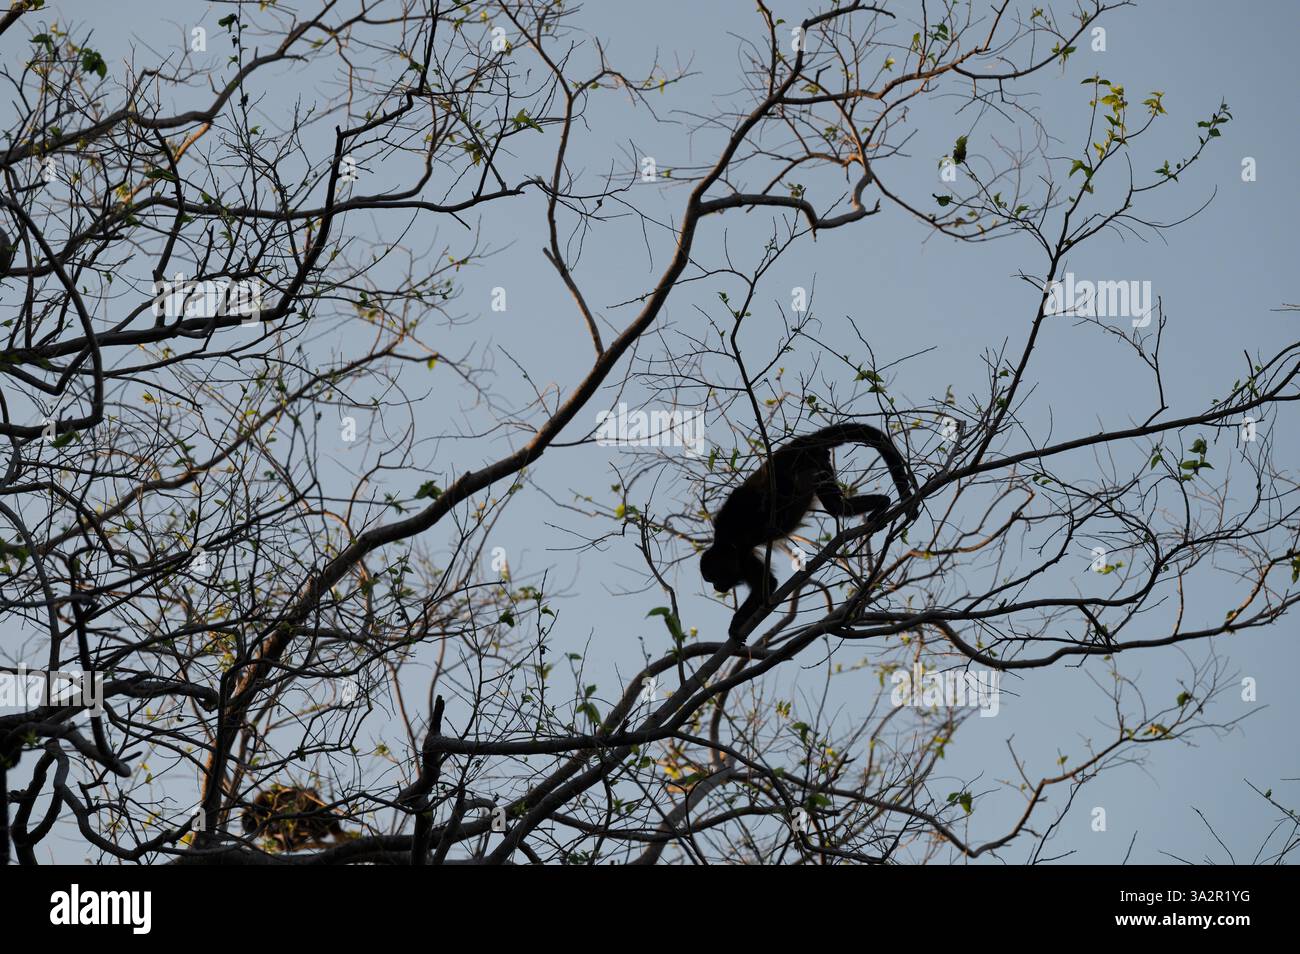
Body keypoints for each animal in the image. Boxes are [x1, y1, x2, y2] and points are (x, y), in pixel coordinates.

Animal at [700, 422, 918, 641]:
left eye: (714, 577)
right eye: (710, 581)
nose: (716, 587)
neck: (728, 541)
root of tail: (804, 440)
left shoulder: (739, 533)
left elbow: (768, 583)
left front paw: (735, 624)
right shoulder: (743, 556)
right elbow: (766, 585)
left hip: (798, 459)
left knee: (780, 484)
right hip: (820, 464)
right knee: (837, 507)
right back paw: (882, 502)